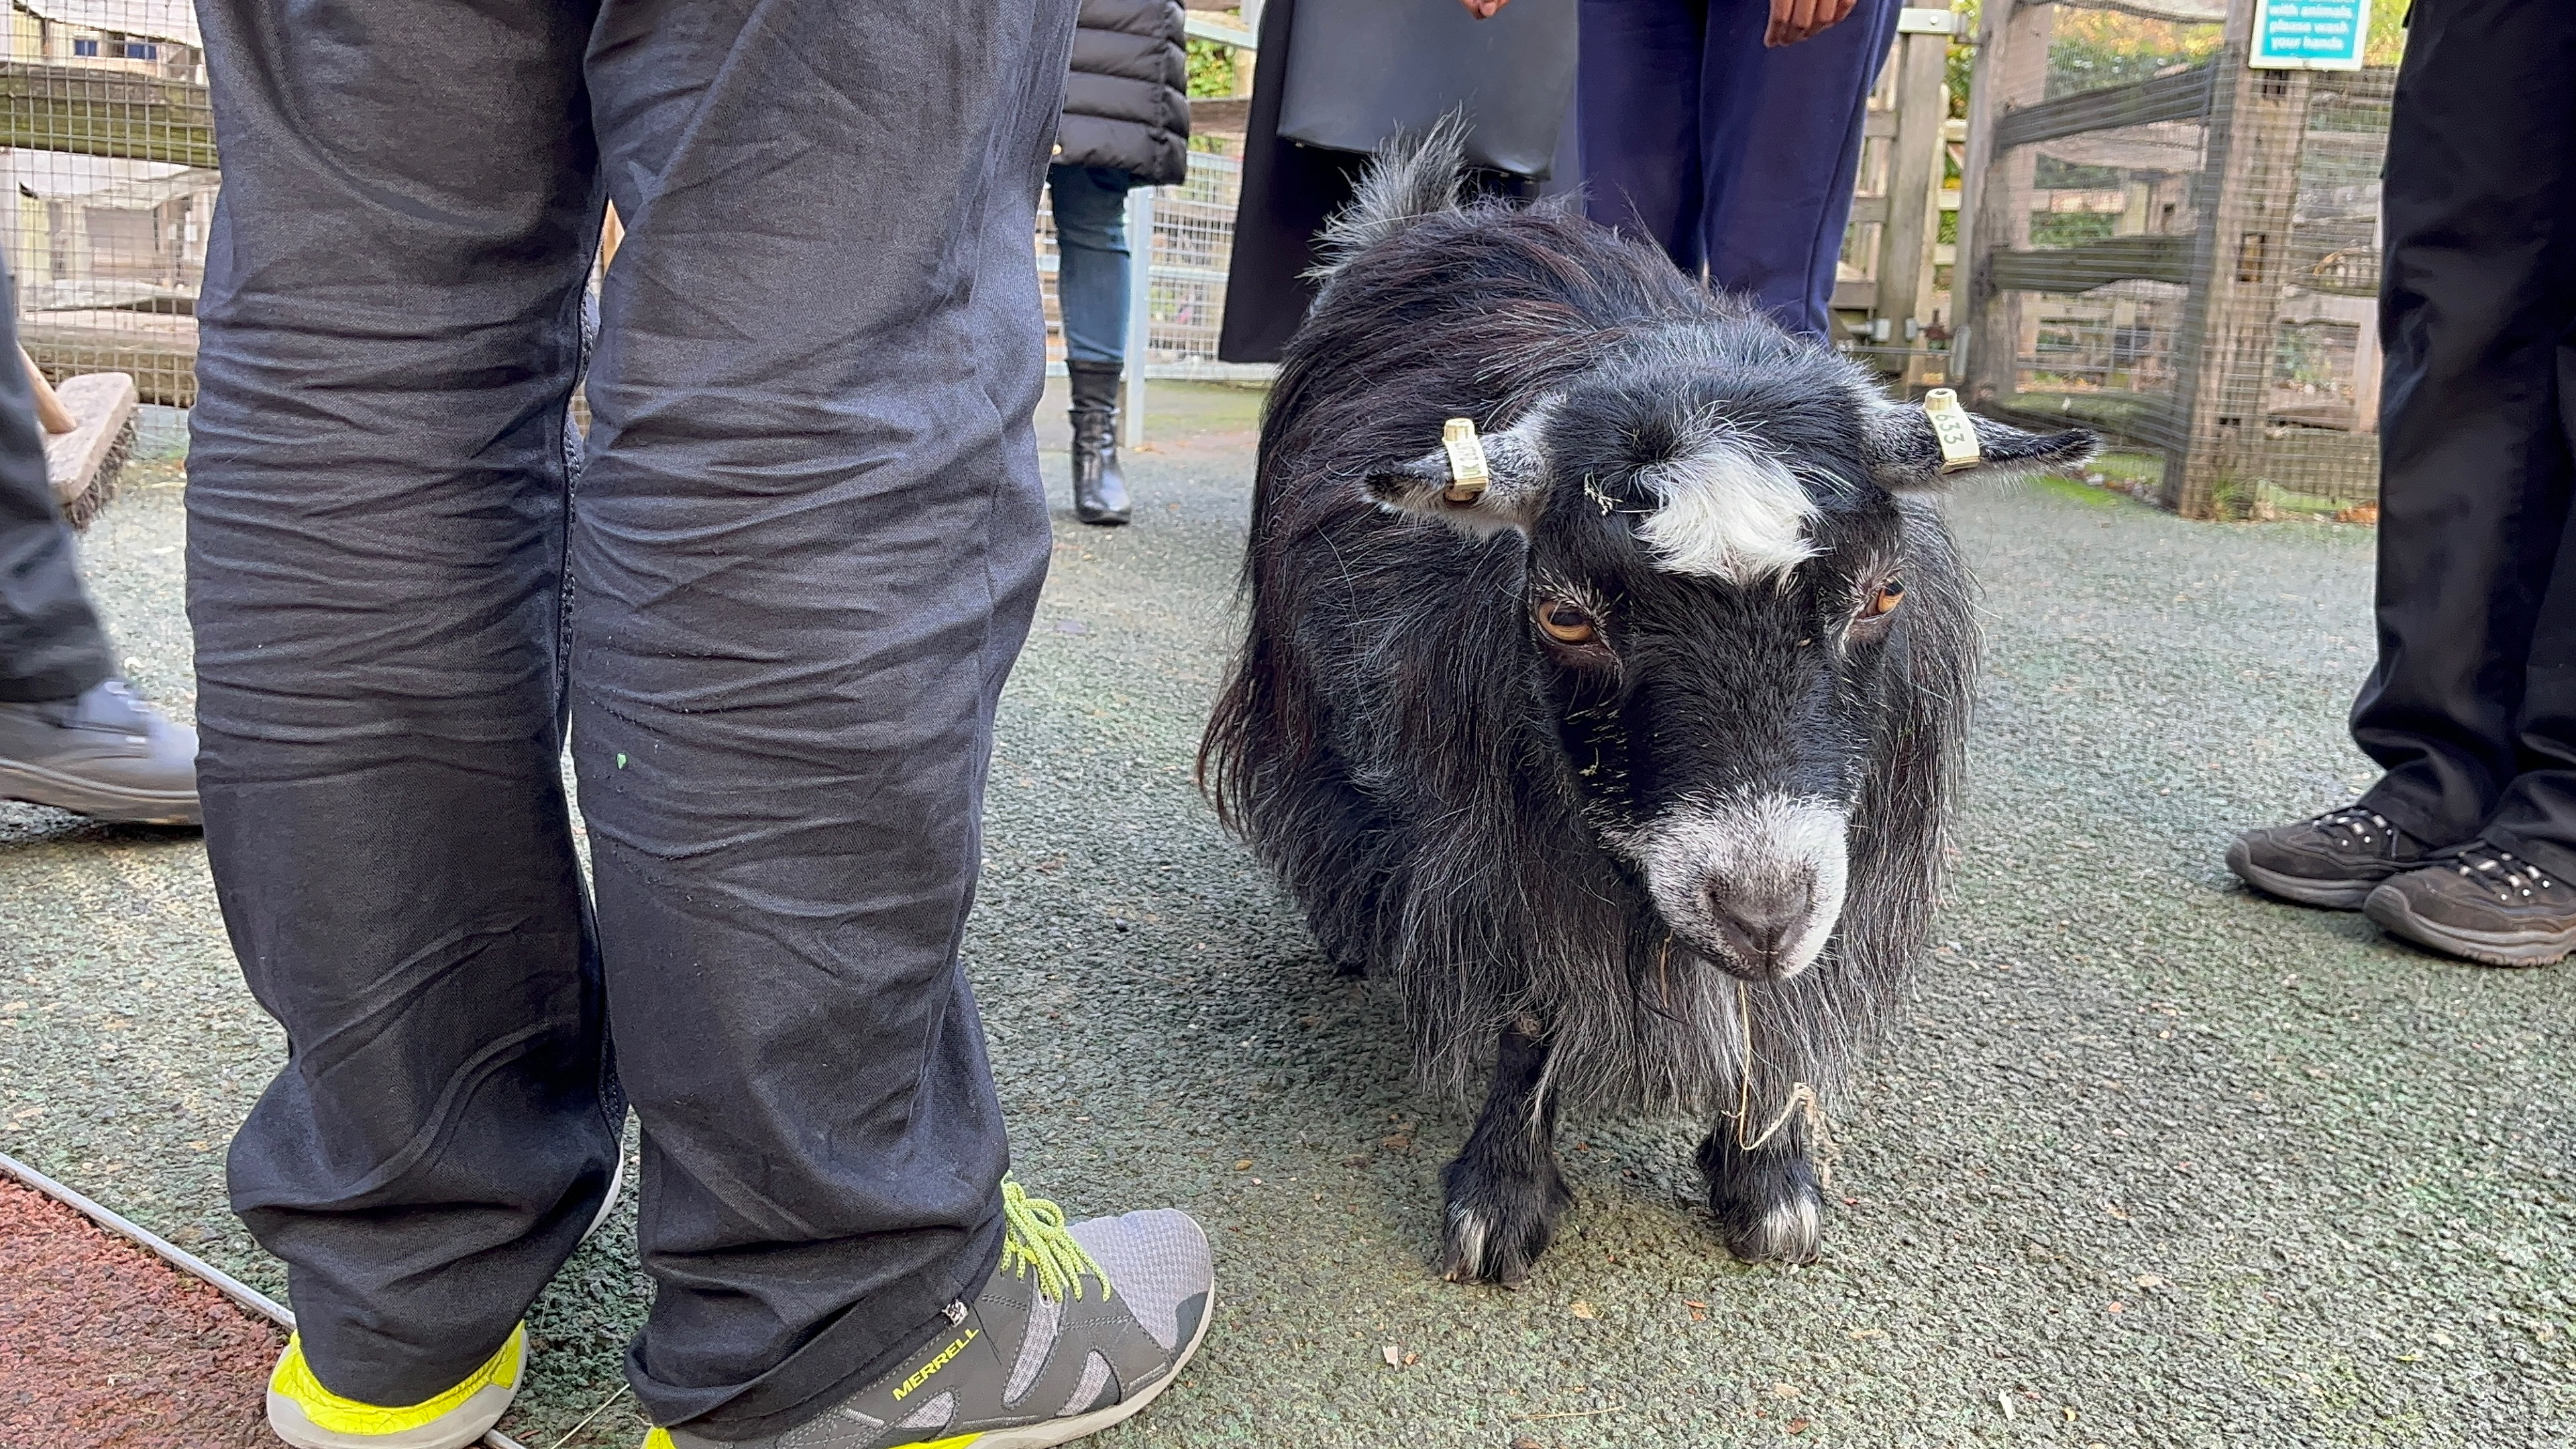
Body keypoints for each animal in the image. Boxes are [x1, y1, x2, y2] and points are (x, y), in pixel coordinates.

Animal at [1199, 129, 2093, 1284]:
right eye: (1566, 617)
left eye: (1883, 593)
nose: (1761, 914)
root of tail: (1435, 214)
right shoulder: (1499, 838)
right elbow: (1532, 1006)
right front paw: (1500, 1199)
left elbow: (1776, 1009)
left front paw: (1768, 1174)